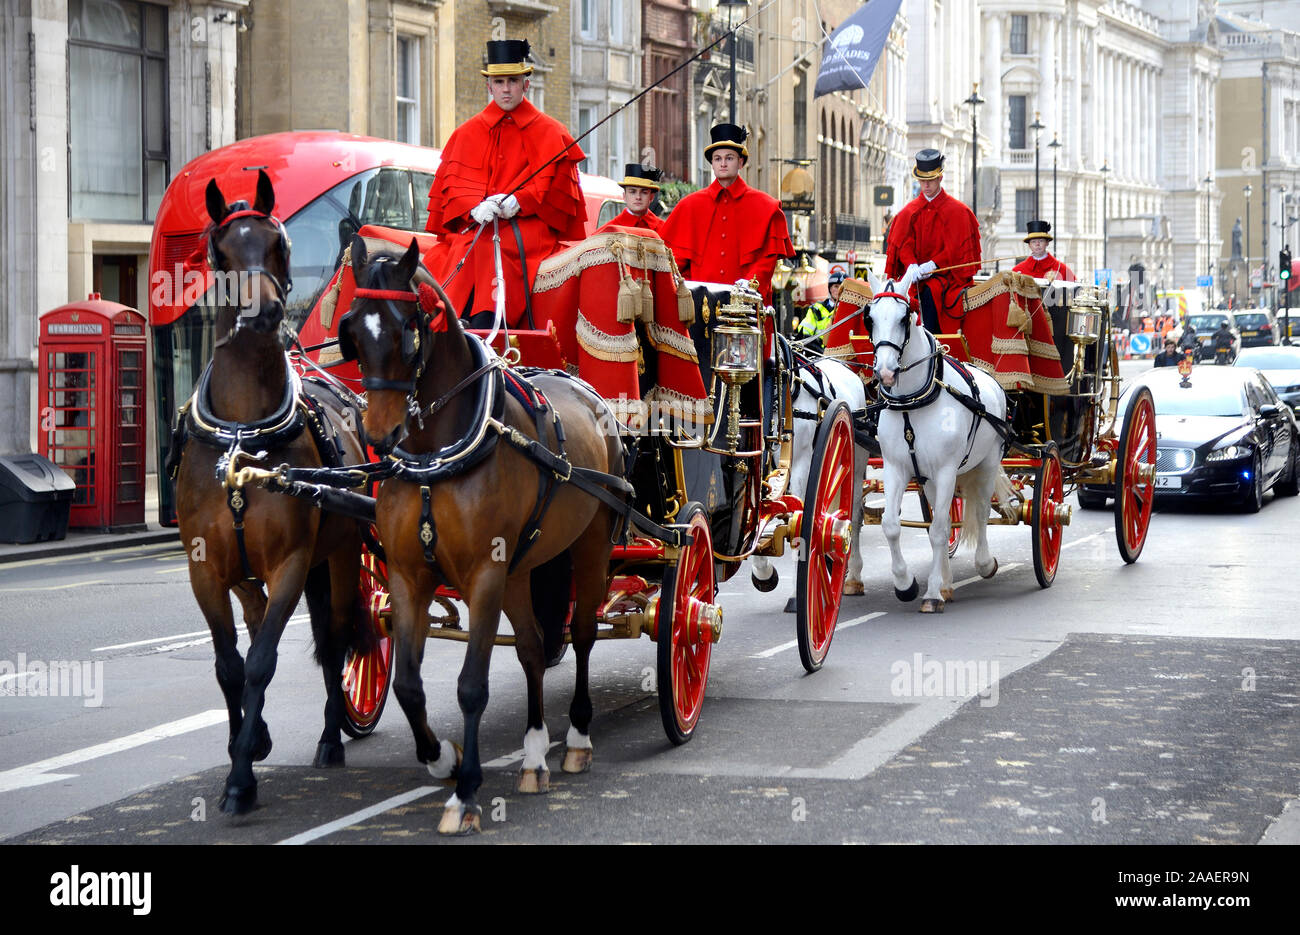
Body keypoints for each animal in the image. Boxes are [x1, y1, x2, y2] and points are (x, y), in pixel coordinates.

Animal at [175, 171, 369, 816]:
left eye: (278, 242)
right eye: (219, 251)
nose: (263, 314)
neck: (242, 434)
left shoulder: (292, 561)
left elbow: (262, 663)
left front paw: (240, 780)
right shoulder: (206, 568)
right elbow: (229, 666)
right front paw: (246, 745)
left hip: (338, 556)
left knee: (335, 640)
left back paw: (332, 737)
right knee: (260, 618)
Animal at [332, 237, 621, 837]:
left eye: (407, 329)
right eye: (352, 332)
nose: (378, 434)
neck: (434, 458)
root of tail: (586, 388)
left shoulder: (484, 573)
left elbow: (471, 685)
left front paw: (464, 793)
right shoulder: (409, 576)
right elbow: (408, 684)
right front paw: (442, 758)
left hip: (591, 547)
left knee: (583, 635)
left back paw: (577, 738)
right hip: (523, 568)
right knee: (533, 647)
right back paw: (534, 755)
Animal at [754, 351, 873, 600]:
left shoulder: (801, 465)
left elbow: (799, 522)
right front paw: (763, 572)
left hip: (856, 467)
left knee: (854, 515)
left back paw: (853, 575)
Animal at [868, 269, 1019, 613]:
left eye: (904, 318)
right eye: (869, 318)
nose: (885, 372)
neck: (913, 403)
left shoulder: (948, 470)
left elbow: (938, 530)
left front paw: (932, 593)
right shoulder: (896, 468)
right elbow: (892, 525)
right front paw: (906, 585)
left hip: (986, 464)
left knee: (979, 512)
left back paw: (983, 564)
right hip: (929, 479)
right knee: (947, 517)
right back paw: (947, 581)